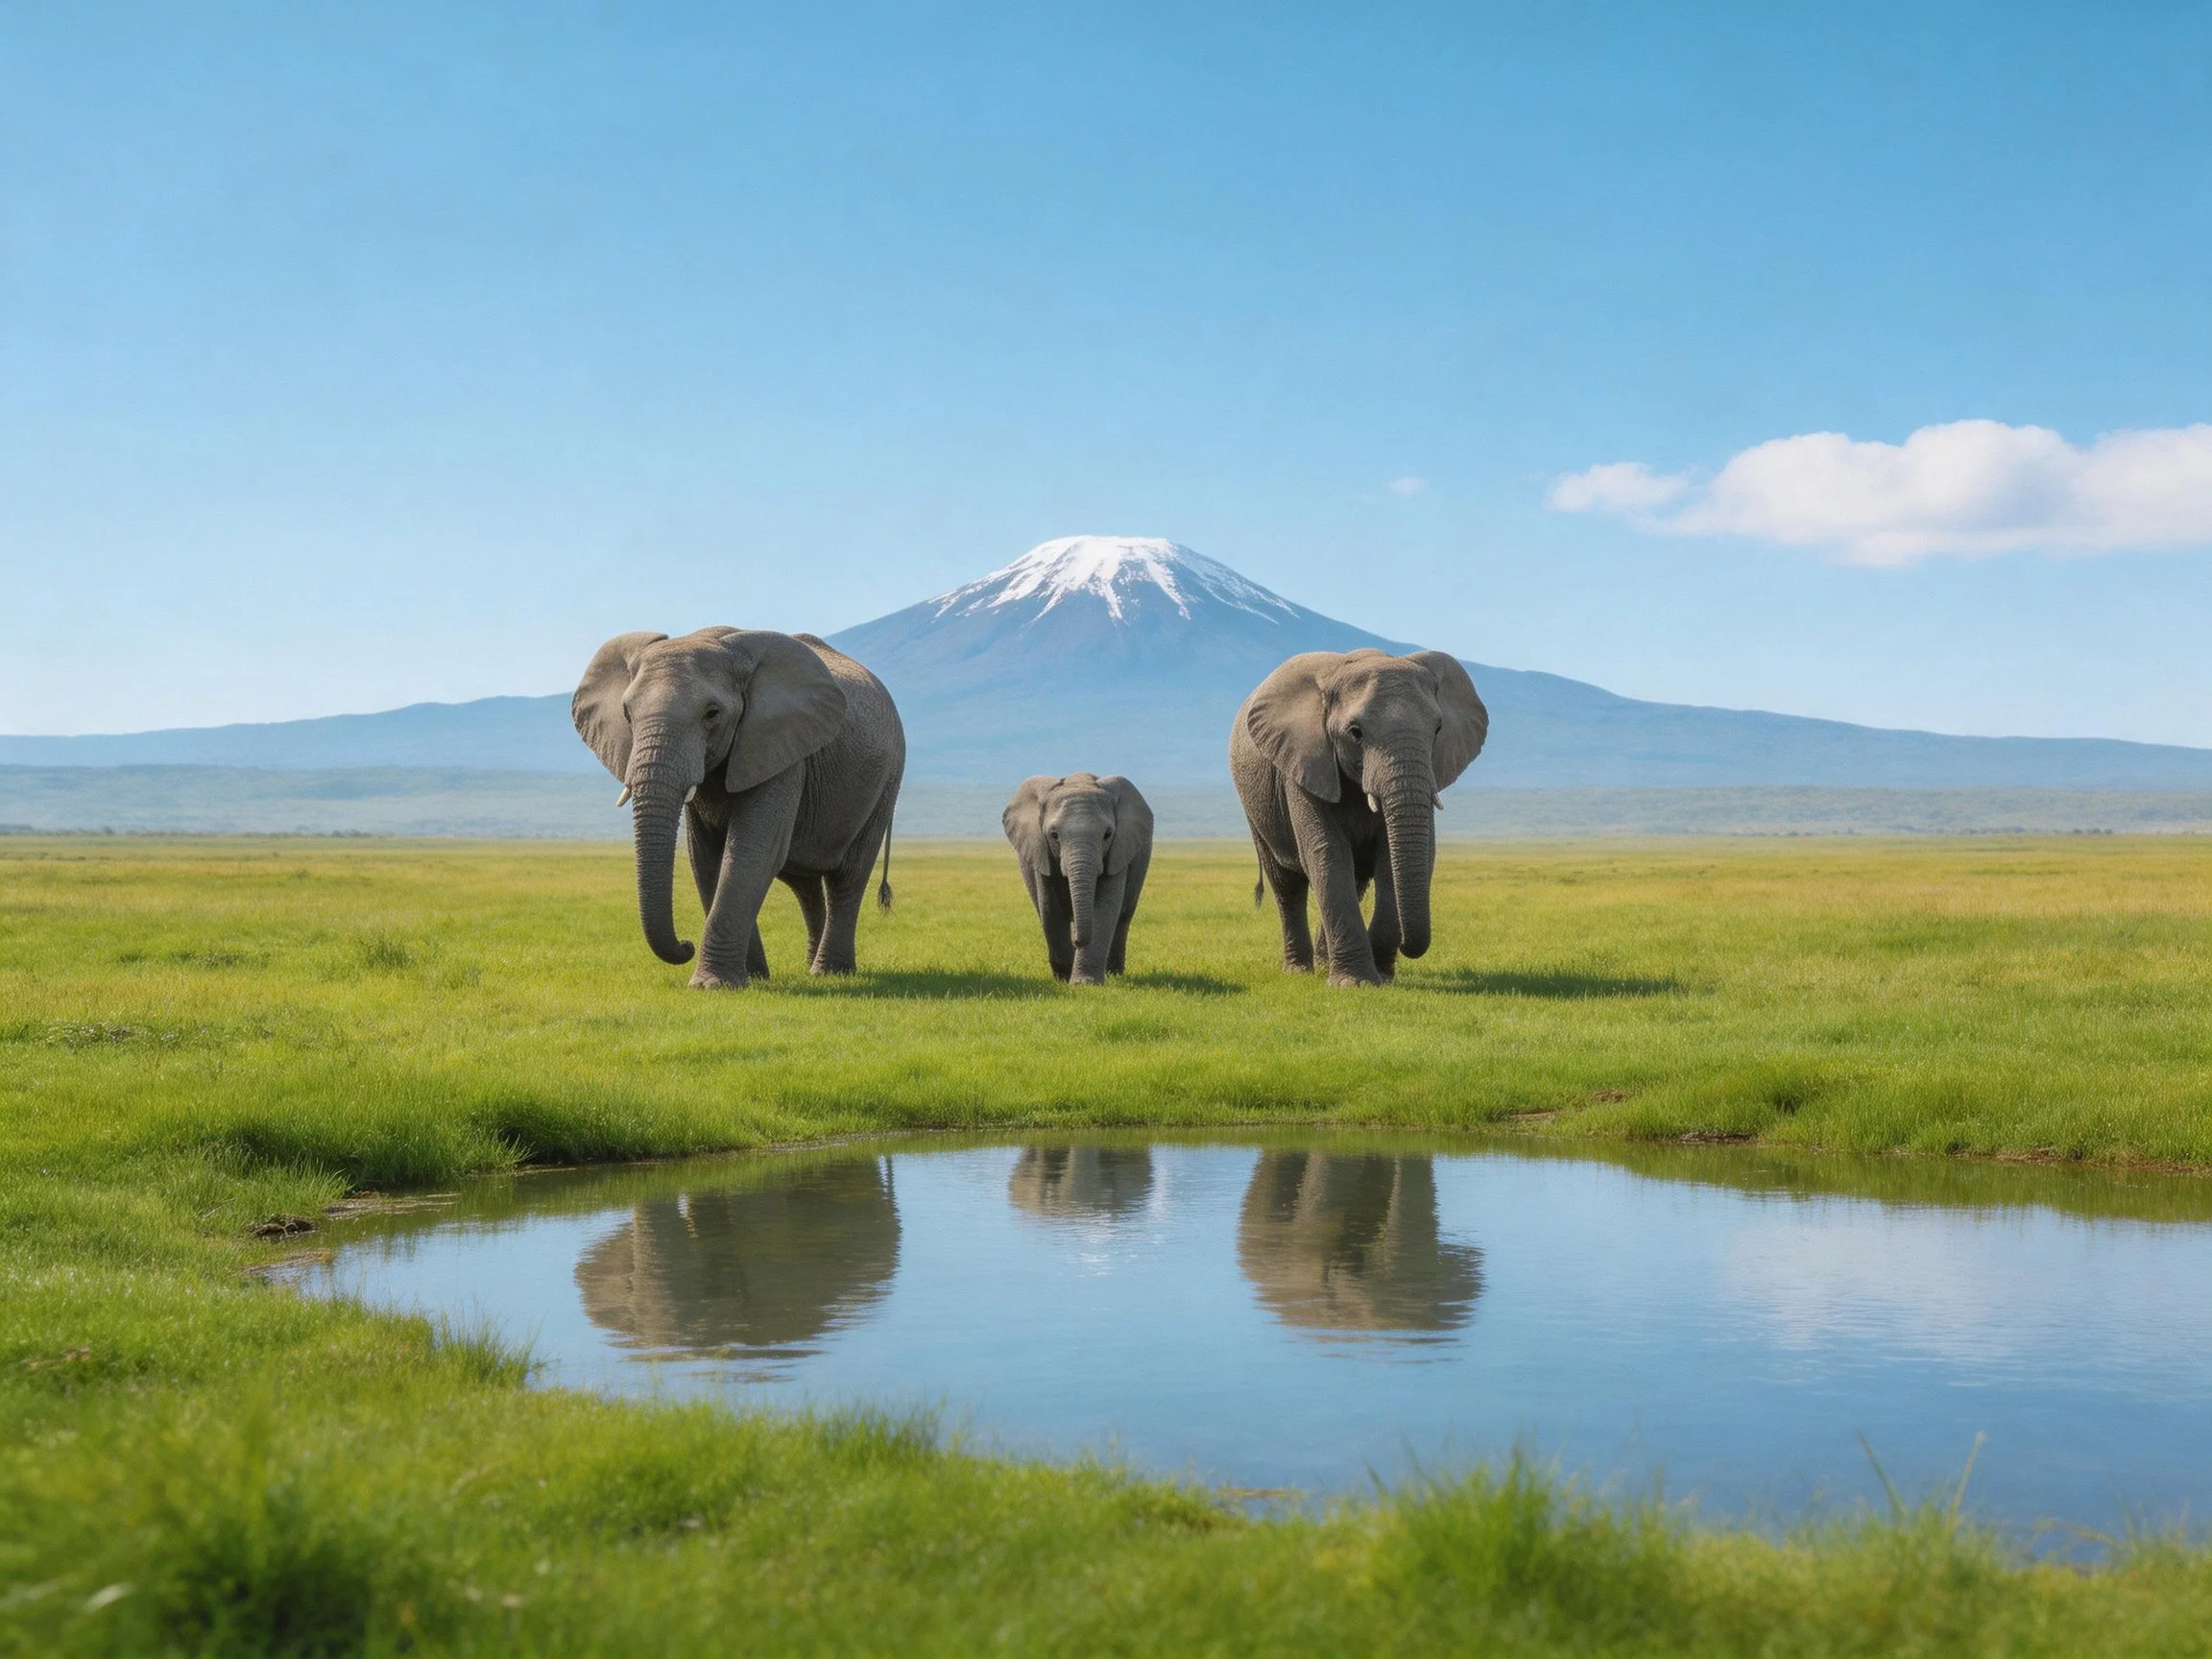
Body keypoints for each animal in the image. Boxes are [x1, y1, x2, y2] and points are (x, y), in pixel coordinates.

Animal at [574, 627, 905, 989]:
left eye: (712, 714)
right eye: (627, 715)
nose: (686, 944)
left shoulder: (779, 749)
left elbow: (753, 851)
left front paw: (712, 985)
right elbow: (706, 859)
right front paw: (753, 978)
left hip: (887, 778)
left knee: (848, 877)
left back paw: (830, 972)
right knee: (805, 884)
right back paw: (811, 966)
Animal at [1002, 773, 1154, 984]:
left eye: (1107, 835)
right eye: (1054, 835)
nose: (1077, 941)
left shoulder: (1119, 850)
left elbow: (1105, 907)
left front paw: (1085, 983)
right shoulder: (1041, 851)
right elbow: (1050, 907)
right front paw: (1064, 979)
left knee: (1123, 918)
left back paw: (1114, 974)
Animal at [1229, 649, 1487, 986]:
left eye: (1437, 730)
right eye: (1355, 733)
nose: (1409, 947)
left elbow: (1396, 856)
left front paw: (1381, 977)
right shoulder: (1305, 762)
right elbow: (1326, 853)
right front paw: (1356, 984)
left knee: (1355, 878)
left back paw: (1325, 964)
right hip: (1255, 804)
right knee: (1287, 884)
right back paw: (1300, 970)